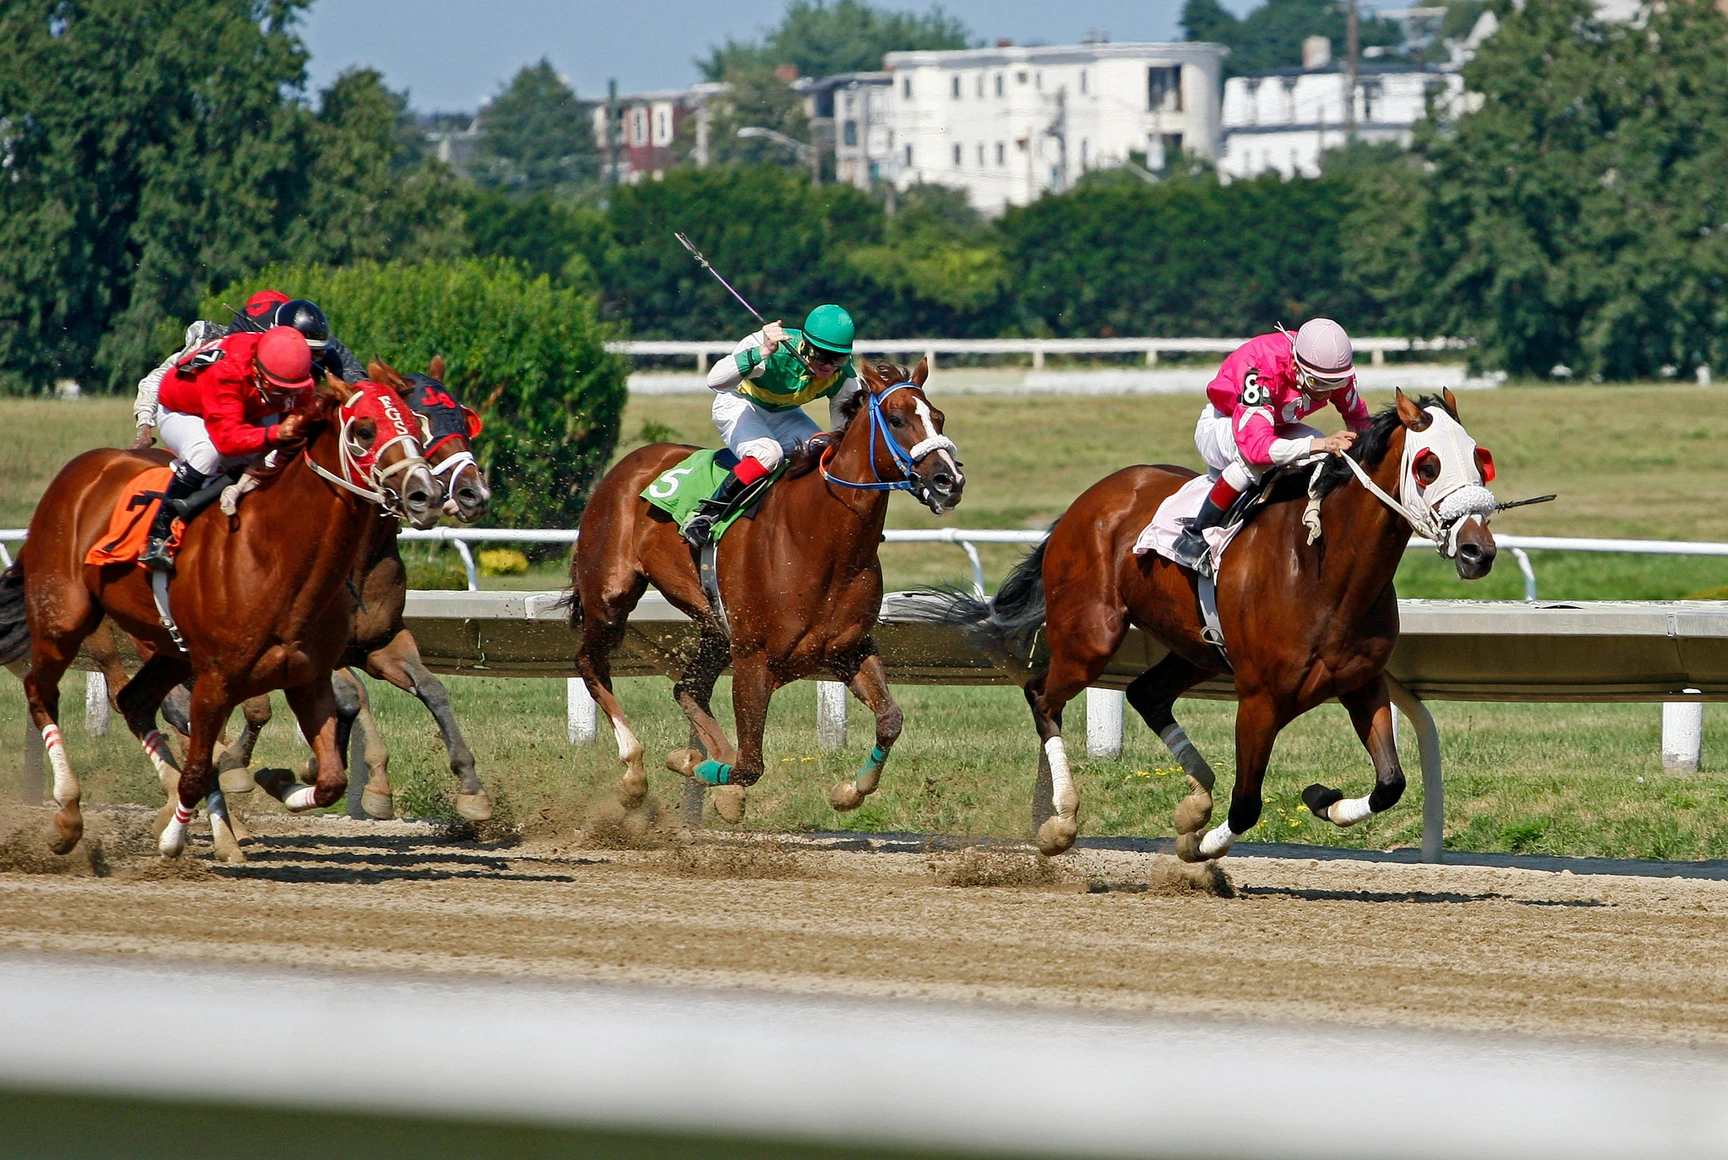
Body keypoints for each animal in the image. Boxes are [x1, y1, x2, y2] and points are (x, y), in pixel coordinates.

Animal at [1, 376, 432, 857]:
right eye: (364, 430)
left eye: (415, 424)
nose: (424, 493)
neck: (277, 552)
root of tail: (82, 468)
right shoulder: (215, 680)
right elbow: (196, 769)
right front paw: (175, 839)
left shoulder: (308, 677)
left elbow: (330, 780)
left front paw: (278, 782)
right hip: (65, 619)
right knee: (42, 692)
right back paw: (68, 815)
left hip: (169, 651)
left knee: (133, 701)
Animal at [573, 357, 967, 822]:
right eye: (897, 419)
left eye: (938, 417)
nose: (949, 480)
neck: (818, 539)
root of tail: (630, 463)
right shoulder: (753, 659)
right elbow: (749, 765)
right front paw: (703, 771)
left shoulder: (849, 648)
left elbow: (890, 719)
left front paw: (848, 790)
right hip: (610, 593)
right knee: (590, 664)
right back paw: (634, 772)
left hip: (714, 625)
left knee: (688, 688)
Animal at [919, 390, 1499, 860]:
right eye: (1427, 465)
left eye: (1479, 458)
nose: (1479, 550)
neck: (1324, 567)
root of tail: (1086, 501)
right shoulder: (1261, 699)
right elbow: (1246, 804)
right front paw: (1198, 848)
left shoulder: (1362, 682)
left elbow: (1391, 783)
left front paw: (1322, 799)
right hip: (1091, 637)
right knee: (1043, 696)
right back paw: (1061, 821)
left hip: (1196, 648)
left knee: (1146, 693)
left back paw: (1196, 798)